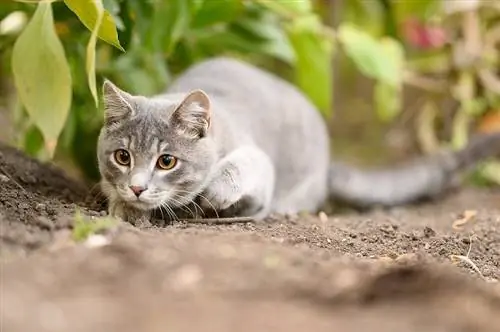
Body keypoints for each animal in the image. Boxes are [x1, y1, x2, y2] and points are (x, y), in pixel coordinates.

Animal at [95, 57, 500, 224]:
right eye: (122, 157)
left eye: (167, 161)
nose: (137, 187)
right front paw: (123, 205)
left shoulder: (256, 158)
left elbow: (242, 167)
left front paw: (214, 194)